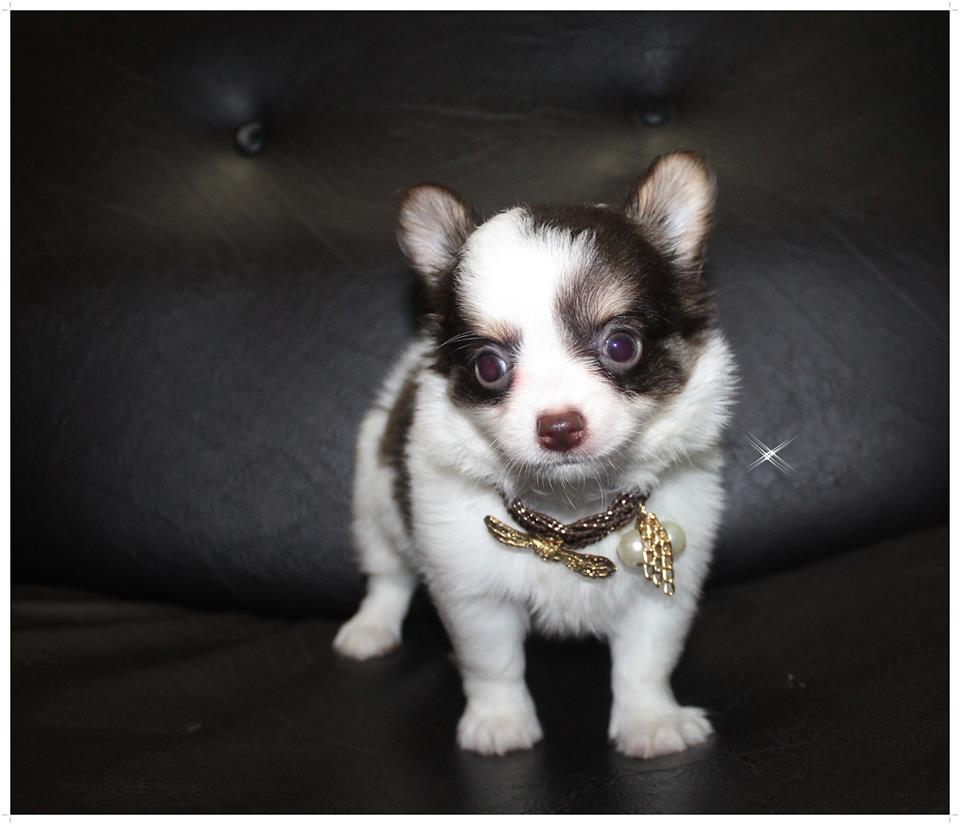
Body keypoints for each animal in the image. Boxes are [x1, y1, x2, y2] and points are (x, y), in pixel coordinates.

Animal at [334, 151, 737, 759]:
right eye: (488, 366)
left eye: (622, 346)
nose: (559, 427)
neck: (569, 515)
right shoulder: (472, 590)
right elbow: (492, 664)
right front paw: (499, 722)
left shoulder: (664, 592)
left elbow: (645, 661)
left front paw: (650, 721)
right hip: (374, 495)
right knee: (388, 574)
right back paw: (371, 629)